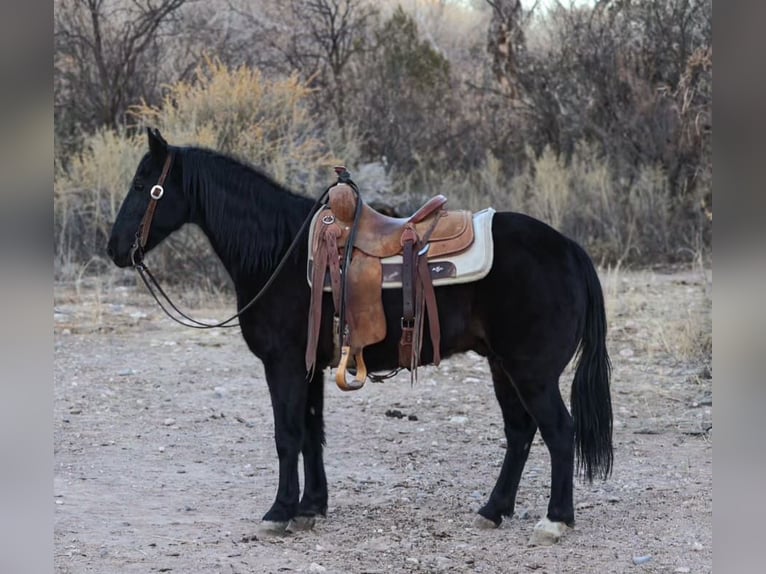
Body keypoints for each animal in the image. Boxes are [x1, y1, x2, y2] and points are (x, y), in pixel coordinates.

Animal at [107, 128, 613, 545]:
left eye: (143, 186)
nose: (114, 249)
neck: (280, 251)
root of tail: (570, 250)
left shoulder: (283, 363)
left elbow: (287, 434)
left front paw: (279, 511)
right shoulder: (308, 366)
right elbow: (311, 432)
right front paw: (311, 507)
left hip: (532, 372)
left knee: (559, 431)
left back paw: (555, 520)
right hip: (502, 366)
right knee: (520, 431)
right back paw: (493, 510)